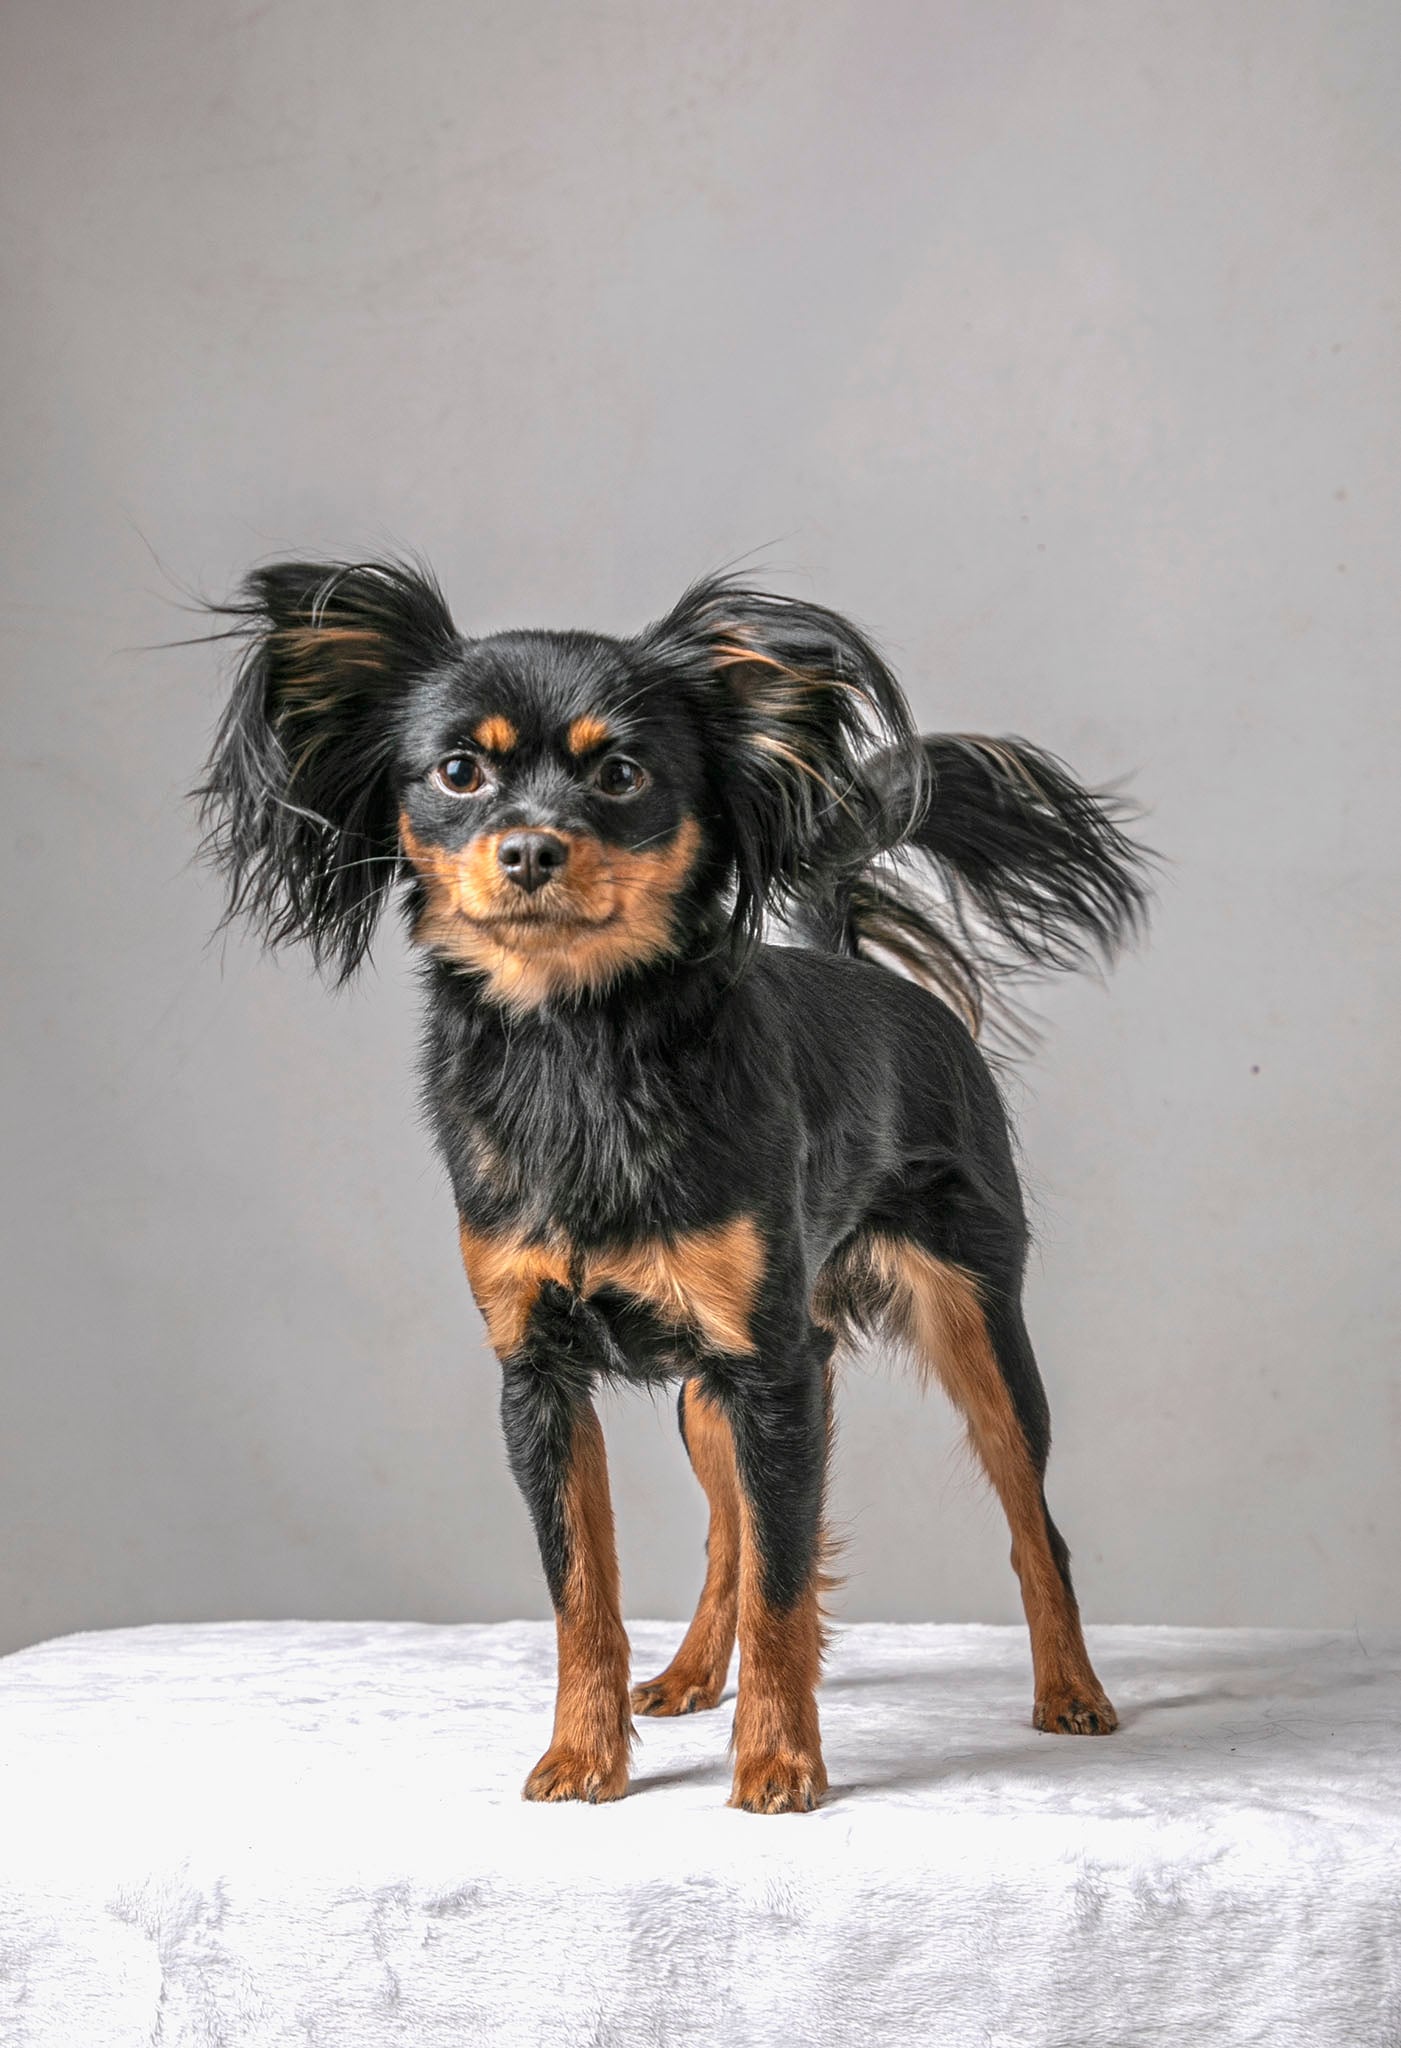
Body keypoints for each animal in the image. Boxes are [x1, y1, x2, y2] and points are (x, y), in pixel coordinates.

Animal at [198, 561, 1149, 1813]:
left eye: (621, 774)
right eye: (458, 772)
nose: (530, 847)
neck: (579, 1042)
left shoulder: (774, 1371)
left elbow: (788, 1586)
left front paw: (781, 1761)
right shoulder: (543, 1377)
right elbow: (586, 1590)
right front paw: (582, 1755)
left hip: (972, 1327)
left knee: (1031, 1520)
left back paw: (1071, 1688)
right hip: (713, 1392)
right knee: (729, 1536)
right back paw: (695, 1671)